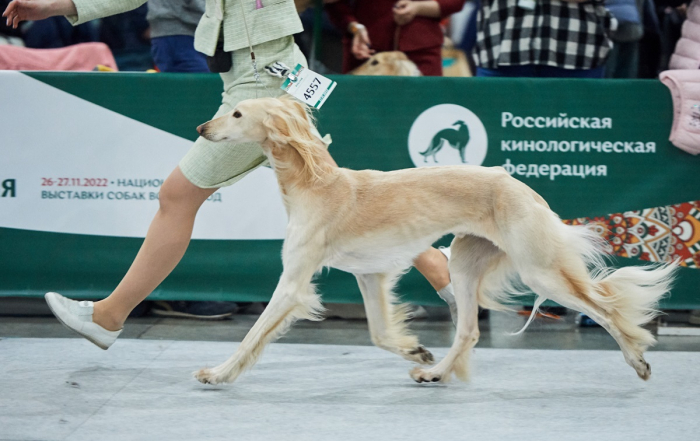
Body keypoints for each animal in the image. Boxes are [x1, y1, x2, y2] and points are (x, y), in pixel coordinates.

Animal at [194, 97, 676, 384]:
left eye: (237, 114)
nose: (201, 128)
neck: (316, 184)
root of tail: (521, 186)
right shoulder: (369, 275)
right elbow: (378, 334)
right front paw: (416, 350)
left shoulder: (294, 282)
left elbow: (253, 334)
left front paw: (218, 373)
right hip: (463, 264)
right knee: (468, 331)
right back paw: (437, 373)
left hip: (539, 271)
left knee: (606, 309)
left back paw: (638, 359)